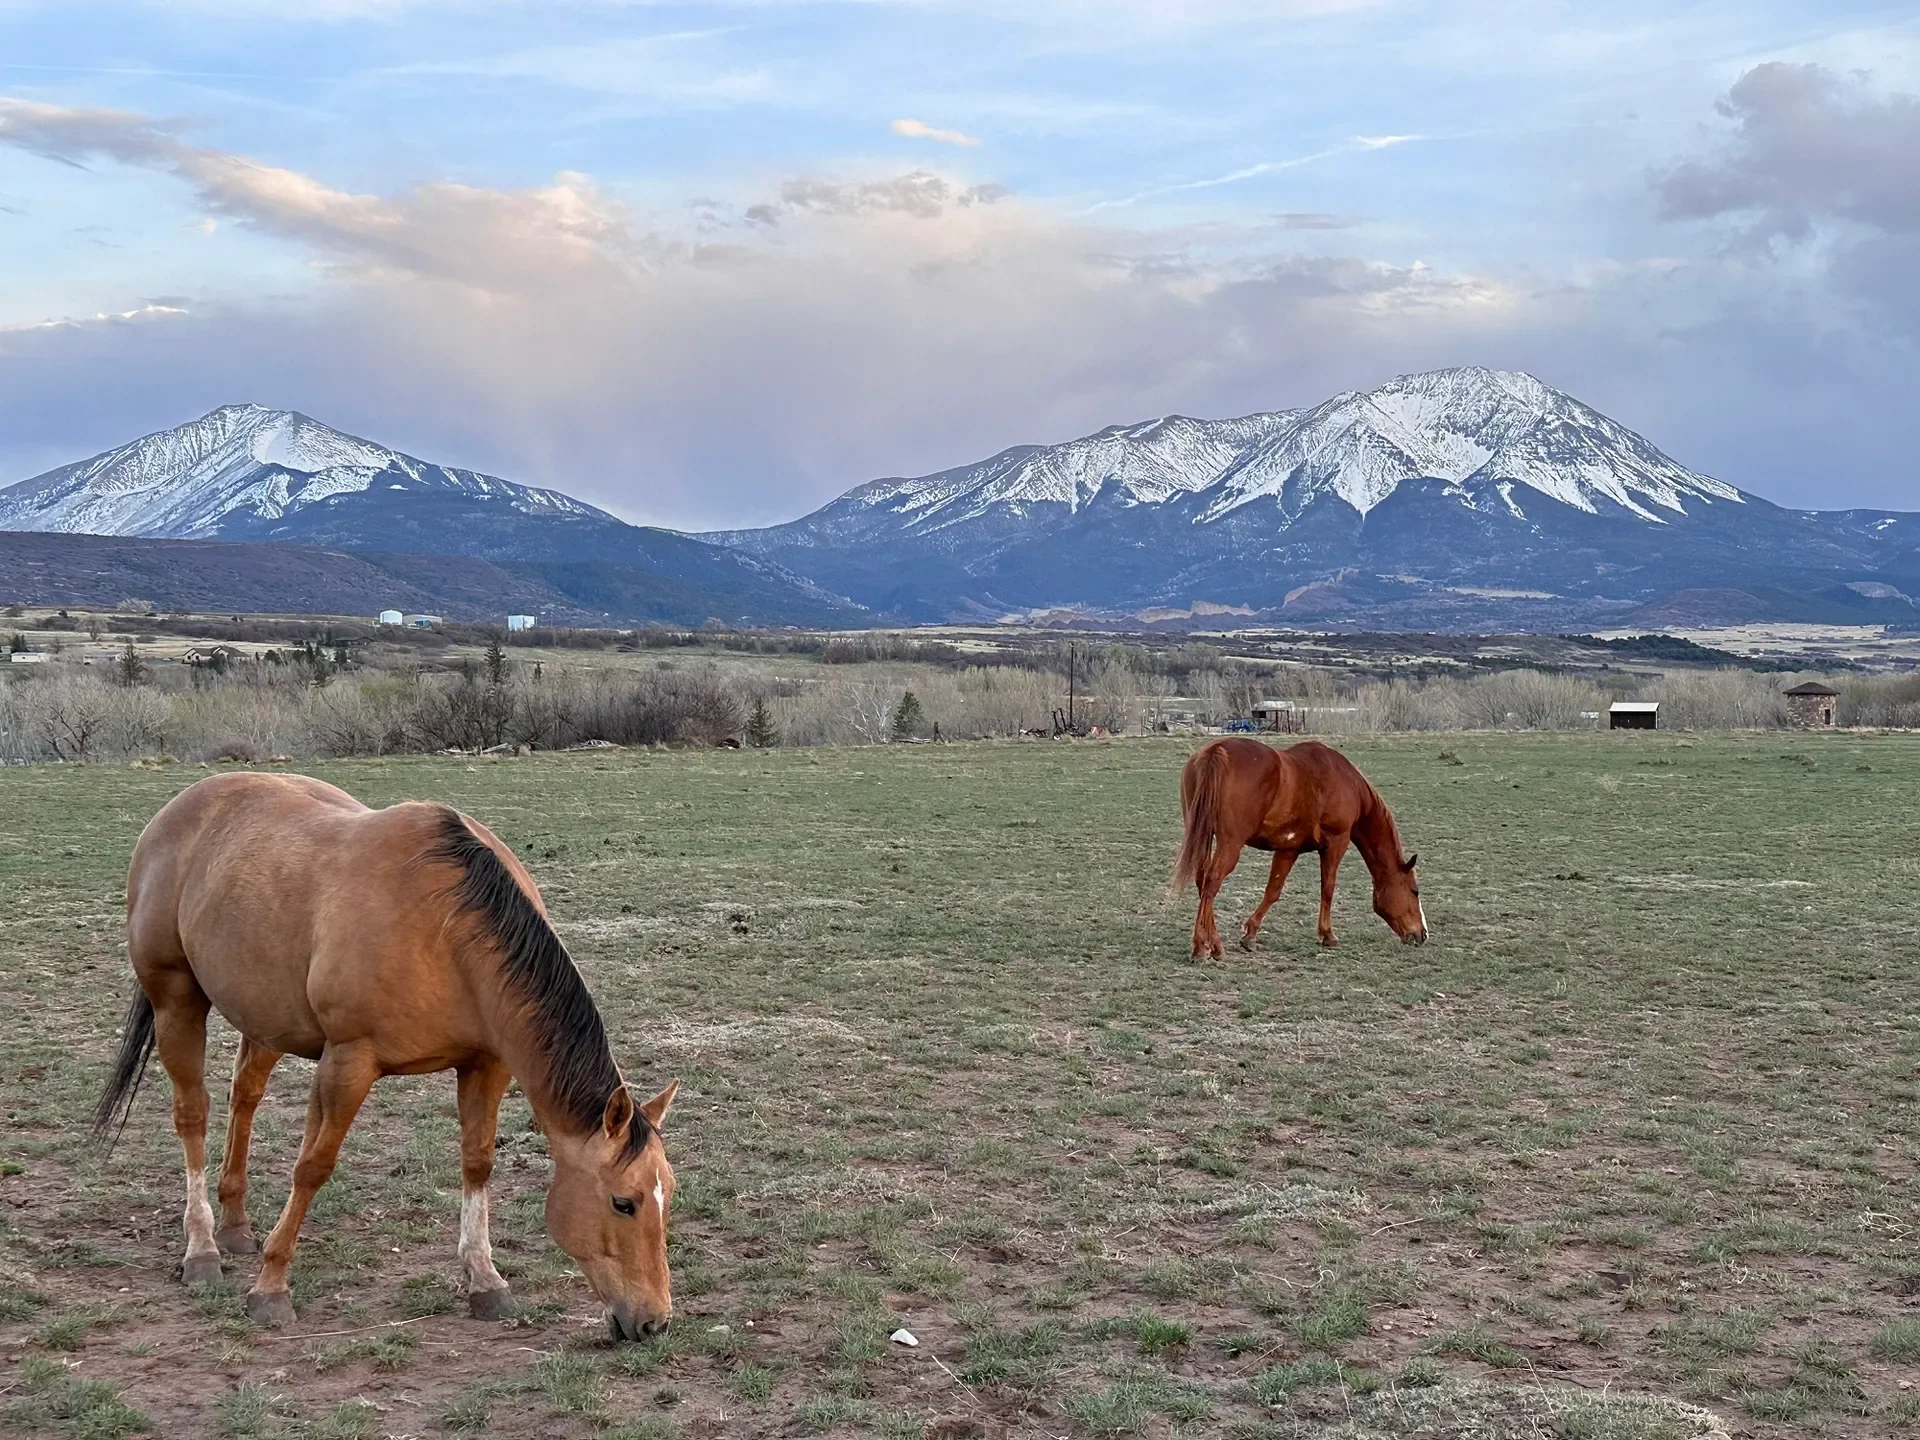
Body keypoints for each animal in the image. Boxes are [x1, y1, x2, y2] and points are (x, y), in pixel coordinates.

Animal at [94, 771, 680, 1339]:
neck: (446, 929)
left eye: (668, 1194)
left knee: (246, 1096)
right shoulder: (349, 1063)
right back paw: (203, 1248)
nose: (653, 1322)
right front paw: (271, 1287)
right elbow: (313, 1167)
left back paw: (236, 1226)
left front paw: (485, 1280)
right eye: (623, 1203)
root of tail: (179, 809)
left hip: (265, 1017)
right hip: (177, 1001)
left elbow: (477, 1162)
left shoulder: (485, 1064)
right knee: (193, 1113)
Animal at [1172, 738, 1427, 959]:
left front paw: (1250, 935)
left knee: (1202, 881)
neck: (1344, 780)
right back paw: (1201, 948)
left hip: (1204, 836)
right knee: (1212, 882)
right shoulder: (1336, 842)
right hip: (1230, 843)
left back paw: (1214, 945)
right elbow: (1328, 888)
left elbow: (1273, 891)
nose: (1422, 935)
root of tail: (1216, 751)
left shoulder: (1288, 849)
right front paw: (1327, 935)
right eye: (1414, 891)